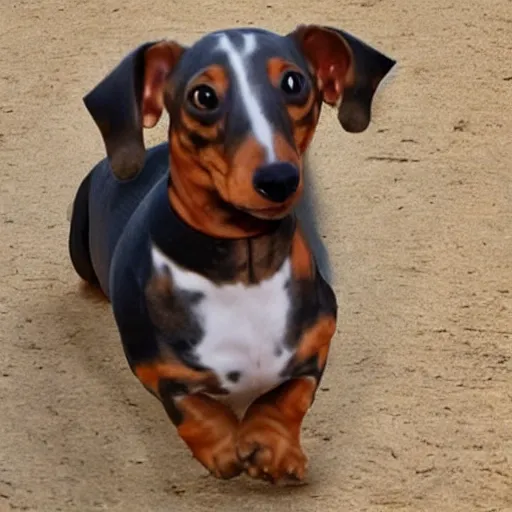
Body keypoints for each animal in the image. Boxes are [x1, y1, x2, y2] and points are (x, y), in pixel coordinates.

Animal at [68, 24, 396, 482]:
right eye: (203, 96)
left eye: (294, 83)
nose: (279, 179)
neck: (244, 269)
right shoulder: (156, 369)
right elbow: (193, 409)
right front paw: (225, 448)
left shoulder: (319, 338)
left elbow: (289, 395)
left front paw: (272, 446)